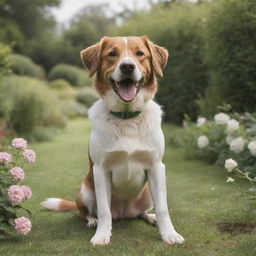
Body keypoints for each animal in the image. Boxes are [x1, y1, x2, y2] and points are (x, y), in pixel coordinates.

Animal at [42, 36, 186, 246]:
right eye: (112, 54)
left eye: (139, 53)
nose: (127, 66)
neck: (126, 118)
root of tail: (124, 213)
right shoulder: (100, 170)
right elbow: (104, 211)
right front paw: (102, 235)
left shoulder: (157, 167)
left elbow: (163, 208)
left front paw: (169, 234)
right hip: (85, 190)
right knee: (84, 213)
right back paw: (92, 221)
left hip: (147, 194)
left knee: (141, 212)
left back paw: (150, 218)